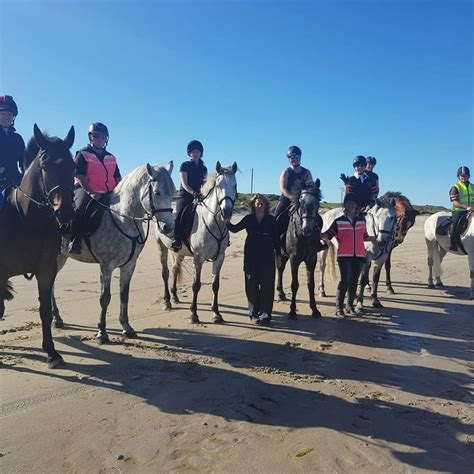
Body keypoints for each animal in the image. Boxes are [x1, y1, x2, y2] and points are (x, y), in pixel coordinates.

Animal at [0, 124, 75, 368]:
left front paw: (52, 352)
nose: (64, 211)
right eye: (44, 165)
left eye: (73, 166)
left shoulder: (46, 271)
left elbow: (44, 311)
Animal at [51, 163, 176, 340]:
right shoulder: (106, 266)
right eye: (157, 192)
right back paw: (56, 318)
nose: (169, 227)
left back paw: (57, 317)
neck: (122, 219)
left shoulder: (129, 265)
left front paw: (126, 327)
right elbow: (105, 298)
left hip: (61, 256)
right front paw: (102, 331)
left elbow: (124, 295)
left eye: (173, 192)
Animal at [155, 161, 237, 324]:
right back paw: (167, 302)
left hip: (178, 251)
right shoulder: (198, 259)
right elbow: (196, 285)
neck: (214, 223)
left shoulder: (220, 258)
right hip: (162, 246)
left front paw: (216, 313)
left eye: (235, 185)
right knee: (165, 273)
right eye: (218, 186)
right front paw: (194, 314)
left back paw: (175, 296)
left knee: (175, 269)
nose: (226, 213)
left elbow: (215, 285)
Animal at [276, 180, 324, 320]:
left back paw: (281, 293)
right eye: (301, 203)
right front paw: (292, 311)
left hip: (284, 255)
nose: (307, 229)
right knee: (279, 268)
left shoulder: (312, 259)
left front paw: (315, 310)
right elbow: (294, 284)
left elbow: (310, 284)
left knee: (280, 269)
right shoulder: (294, 259)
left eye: (317, 203)